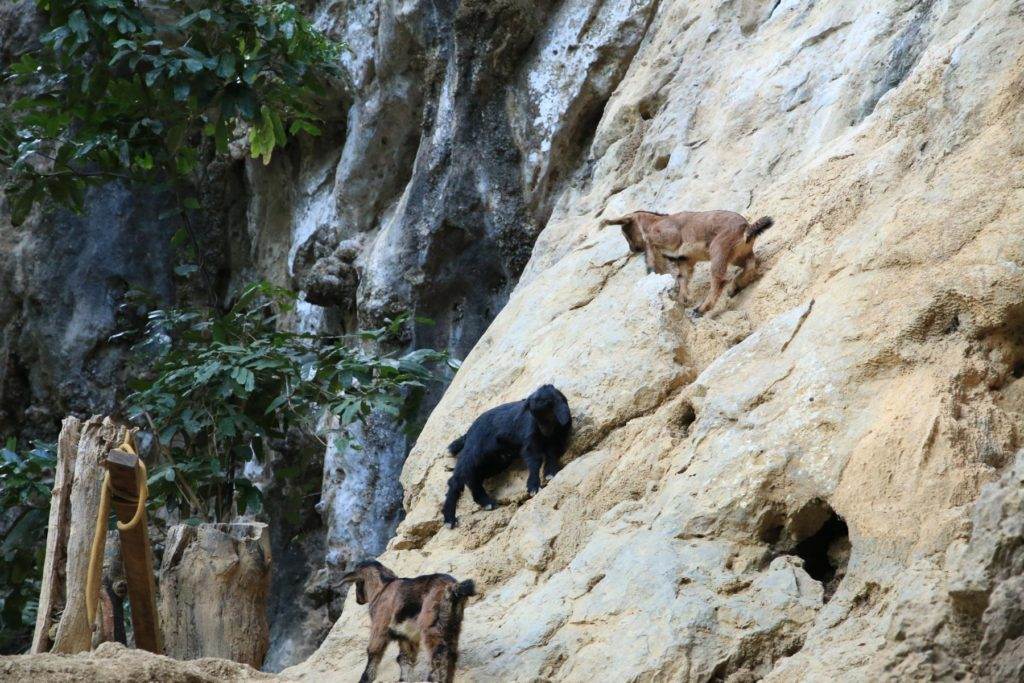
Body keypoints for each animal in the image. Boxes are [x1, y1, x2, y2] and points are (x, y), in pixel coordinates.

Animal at [339, 561, 475, 683]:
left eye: (357, 583)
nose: (358, 600)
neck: (382, 588)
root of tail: (453, 587)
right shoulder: (406, 636)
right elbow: (405, 659)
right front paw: (403, 680)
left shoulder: (380, 627)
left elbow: (374, 651)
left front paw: (365, 679)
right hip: (452, 626)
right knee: (451, 654)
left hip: (431, 626)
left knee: (439, 654)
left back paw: (432, 679)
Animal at [440, 385, 573, 528]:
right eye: (533, 414)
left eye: (548, 411)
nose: (544, 432)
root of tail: (468, 432)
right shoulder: (530, 439)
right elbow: (534, 460)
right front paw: (533, 487)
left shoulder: (555, 441)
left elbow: (551, 455)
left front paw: (550, 472)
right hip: (473, 452)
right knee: (457, 479)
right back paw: (450, 518)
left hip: (495, 461)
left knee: (472, 477)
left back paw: (486, 502)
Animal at [598, 209, 774, 317]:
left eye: (625, 232)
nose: (633, 249)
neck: (655, 222)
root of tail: (747, 228)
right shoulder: (684, 259)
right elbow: (683, 278)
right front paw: (682, 299)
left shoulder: (668, 238)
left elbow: (652, 247)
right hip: (739, 255)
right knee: (750, 265)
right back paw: (735, 287)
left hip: (719, 249)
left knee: (719, 280)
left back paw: (701, 309)